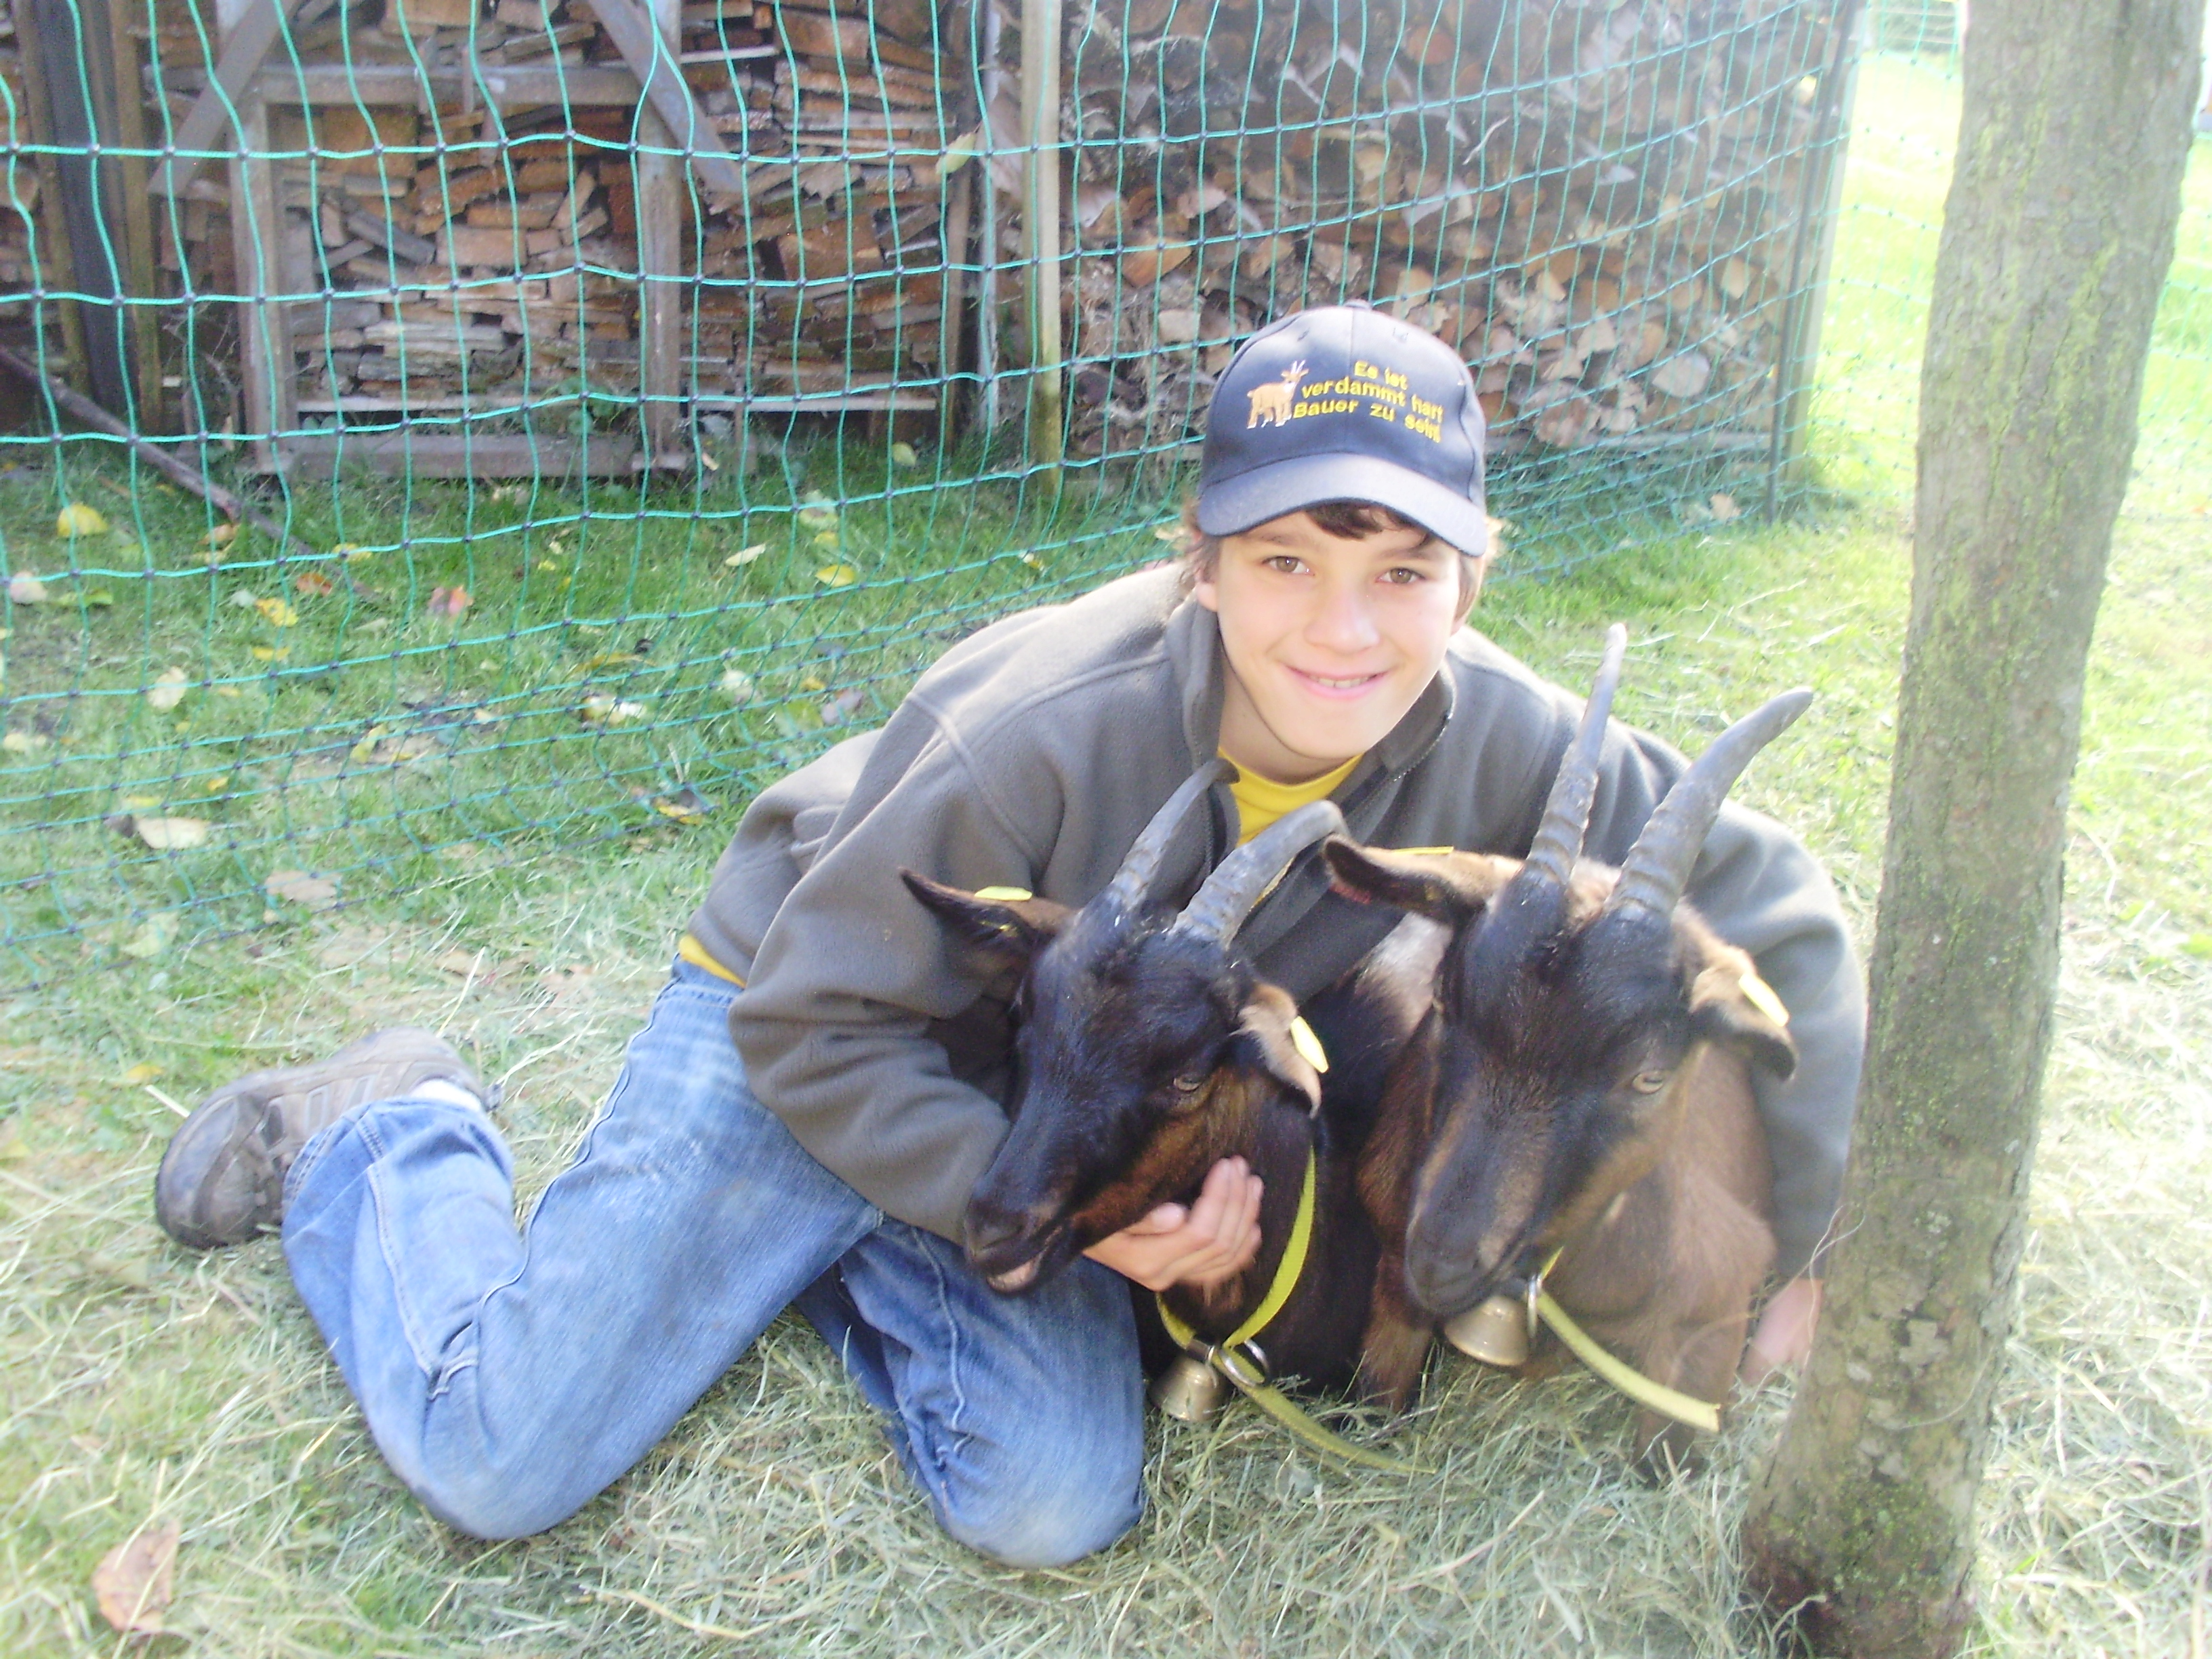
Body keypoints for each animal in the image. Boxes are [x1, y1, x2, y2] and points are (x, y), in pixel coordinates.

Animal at [1323, 628, 1808, 1464]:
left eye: (1649, 1077)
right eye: (1447, 1000)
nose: (1442, 1256)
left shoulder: (1716, 1315)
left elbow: (1663, 1462)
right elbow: (1371, 1404)